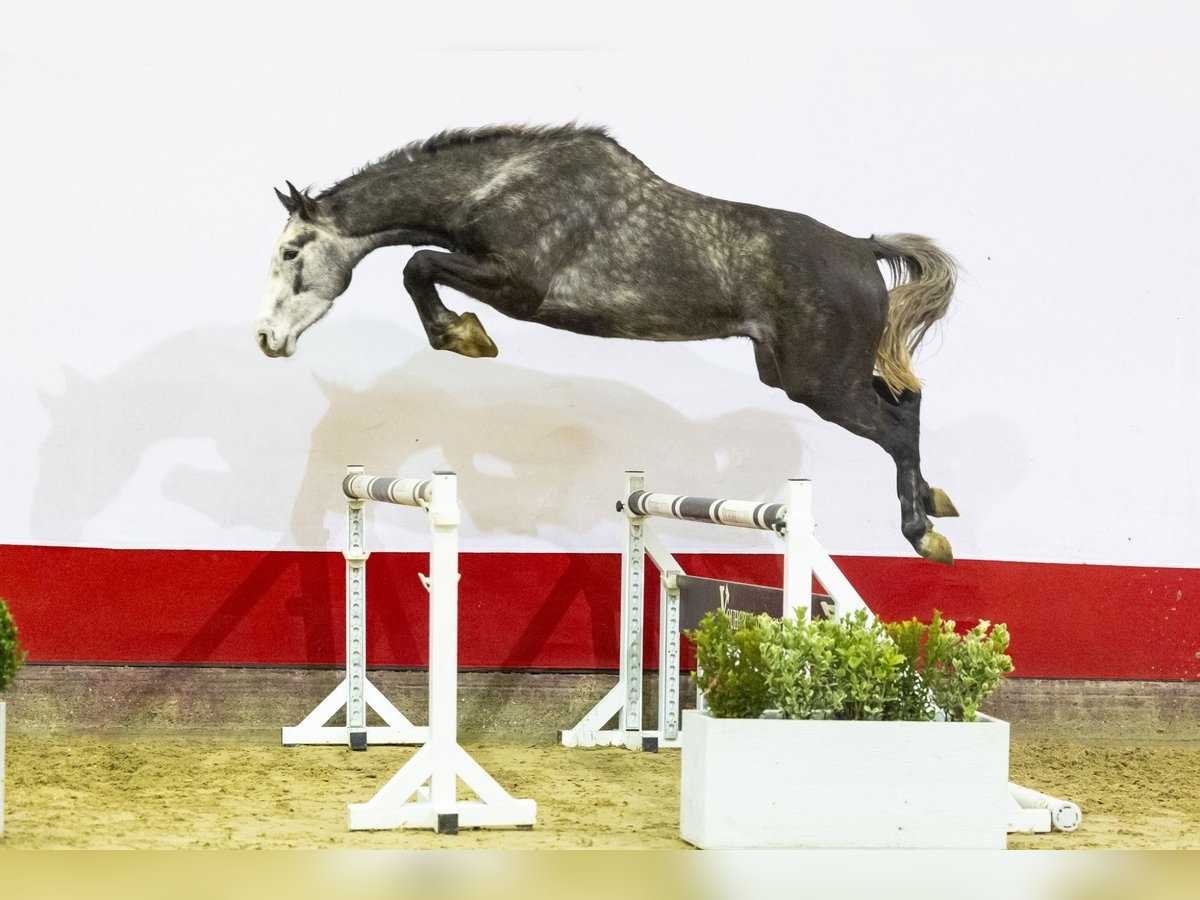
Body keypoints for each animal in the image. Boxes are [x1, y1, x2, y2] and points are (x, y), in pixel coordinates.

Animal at [258, 125, 960, 564]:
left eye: (291, 253)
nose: (266, 338)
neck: (503, 184)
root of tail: (862, 249)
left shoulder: (518, 287)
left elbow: (418, 265)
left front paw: (465, 337)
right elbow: (420, 266)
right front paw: (463, 335)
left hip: (819, 384)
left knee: (898, 427)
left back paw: (922, 534)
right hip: (807, 374)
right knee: (909, 404)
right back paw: (936, 502)